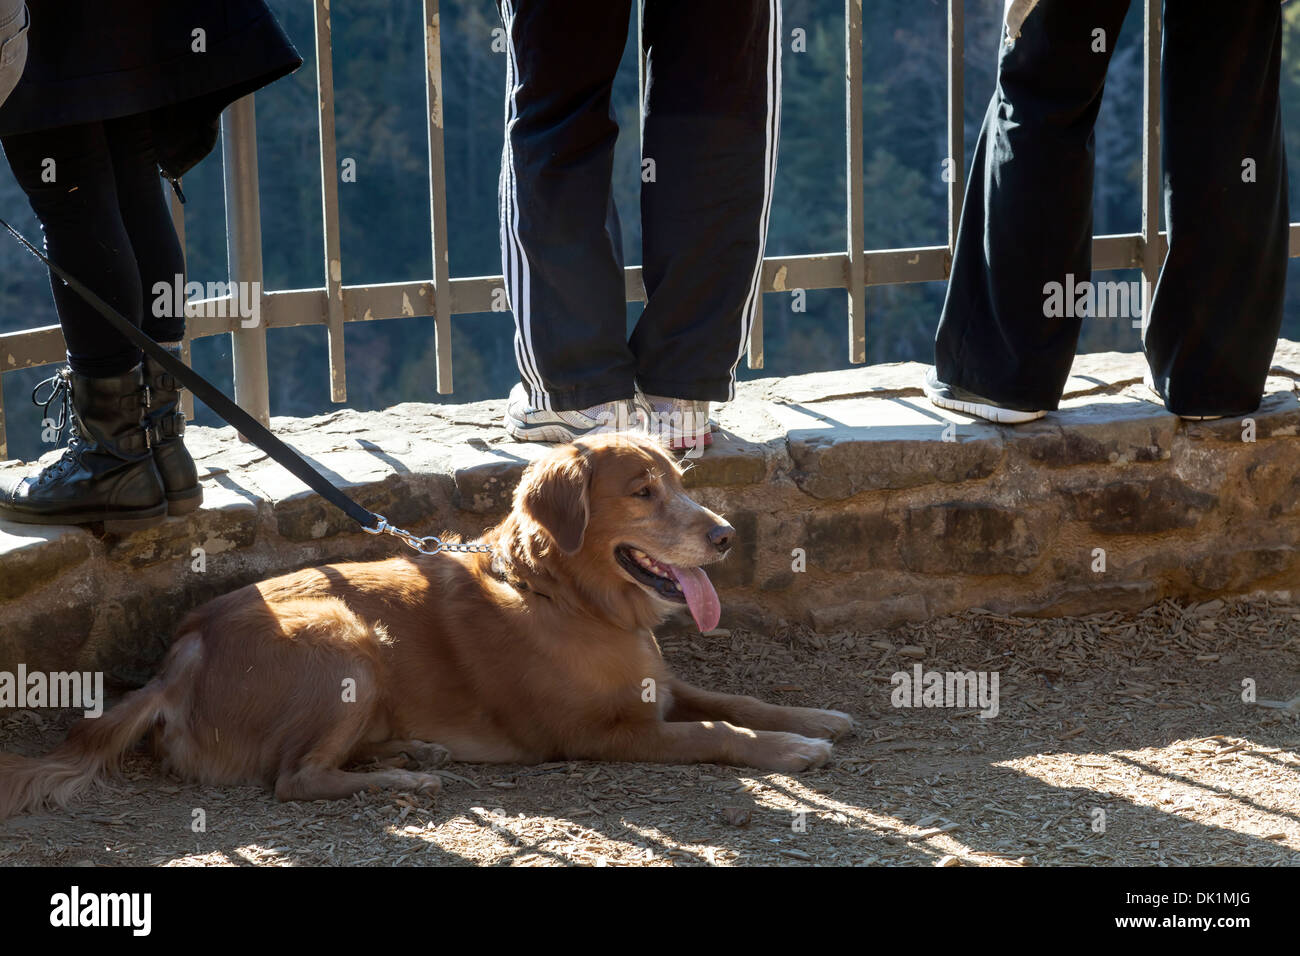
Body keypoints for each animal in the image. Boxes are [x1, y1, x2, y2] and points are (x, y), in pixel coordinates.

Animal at [0, 434, 852, 816]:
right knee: (295, 778)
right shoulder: (603, 733)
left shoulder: (659, 686)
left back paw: (411, 748)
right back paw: (407, 777)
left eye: (679, 480)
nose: (727, 536)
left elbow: (737, 702)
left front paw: (817, 715)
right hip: (344, 637)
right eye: (643, 491)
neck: (567, 597)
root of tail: (178, 657)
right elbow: (719, 731)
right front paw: (791, 750)